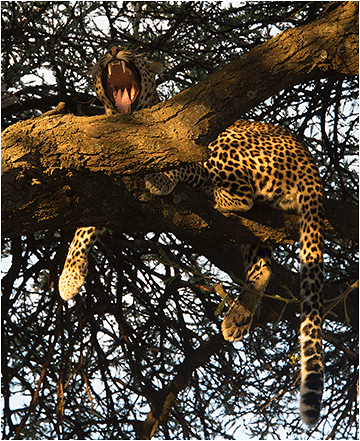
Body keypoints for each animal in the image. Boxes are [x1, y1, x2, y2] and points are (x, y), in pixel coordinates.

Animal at [58, 45, 324, 426]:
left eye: (132, 50)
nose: (113, 49)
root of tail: (307, 159)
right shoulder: (107, 194)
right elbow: (83, 229)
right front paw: (69, 277)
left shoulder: (180, 156)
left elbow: (177, 166)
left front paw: (160, 178)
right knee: (263, 265)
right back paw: (238, 317)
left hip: (226, 145)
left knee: (238, 194)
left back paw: (215, 195)